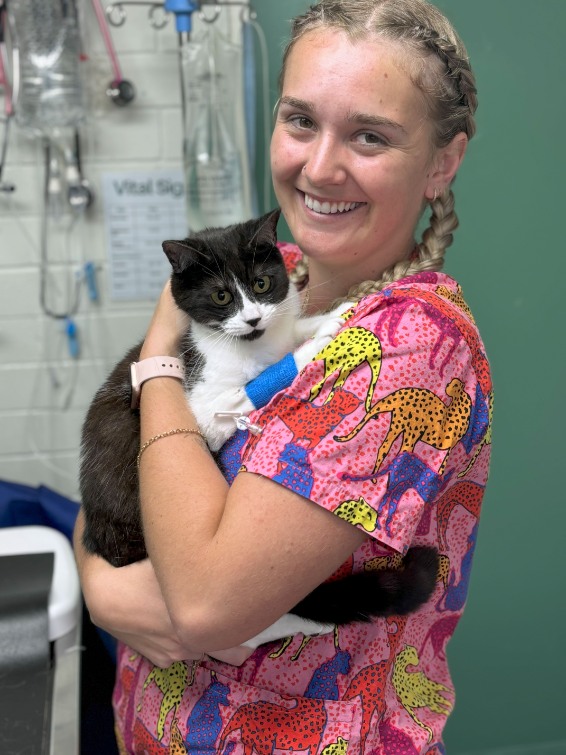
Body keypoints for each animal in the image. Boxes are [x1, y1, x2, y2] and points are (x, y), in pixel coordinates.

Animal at [79, 210, 440, 636]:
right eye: (221, 296)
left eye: (261, 283)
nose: (251, 318)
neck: (251, 344)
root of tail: (102, 538)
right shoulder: (205, 403)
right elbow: (265, 375)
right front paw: (317, 344)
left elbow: (289, 331)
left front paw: (331, 316)